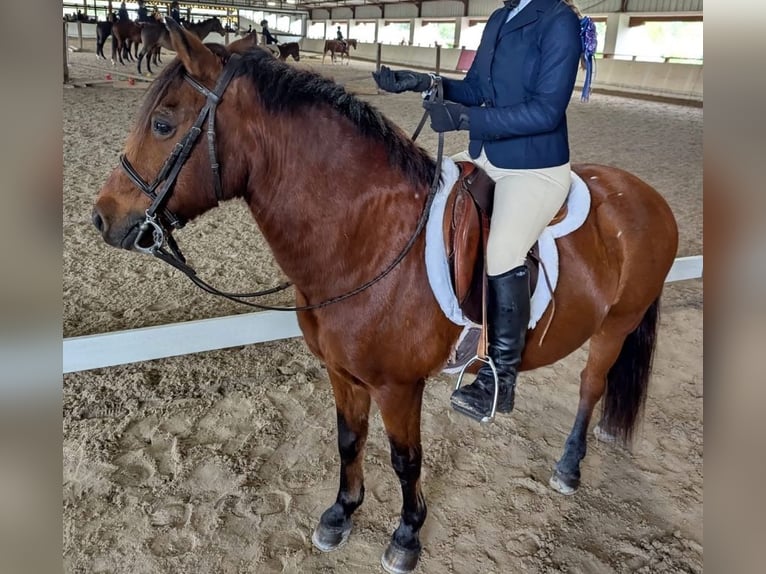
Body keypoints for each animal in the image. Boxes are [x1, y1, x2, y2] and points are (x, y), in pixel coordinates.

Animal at [93, 21, 680, 574]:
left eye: (163, 124)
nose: (103, 218)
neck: (365, 238)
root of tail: (646, 195)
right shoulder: (341, 372)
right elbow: (348, 439)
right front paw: (340, 514)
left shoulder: (398, 387)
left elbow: (406, 460)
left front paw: (406, 537)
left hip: (616, 326)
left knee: (590, 387)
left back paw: (568, 465)